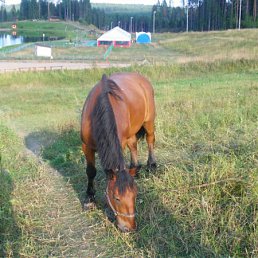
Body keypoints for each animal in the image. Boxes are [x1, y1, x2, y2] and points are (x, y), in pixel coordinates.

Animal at [80, 72, 156, 232]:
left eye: (135, 196)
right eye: (116, 198)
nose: (129, 228)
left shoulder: (120, 142)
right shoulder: (86, 146)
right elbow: (91, 171)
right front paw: (89, 199)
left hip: (149, 121)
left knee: (150, 139)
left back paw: (152, 165)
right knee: (134, 145)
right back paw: (135, 168)